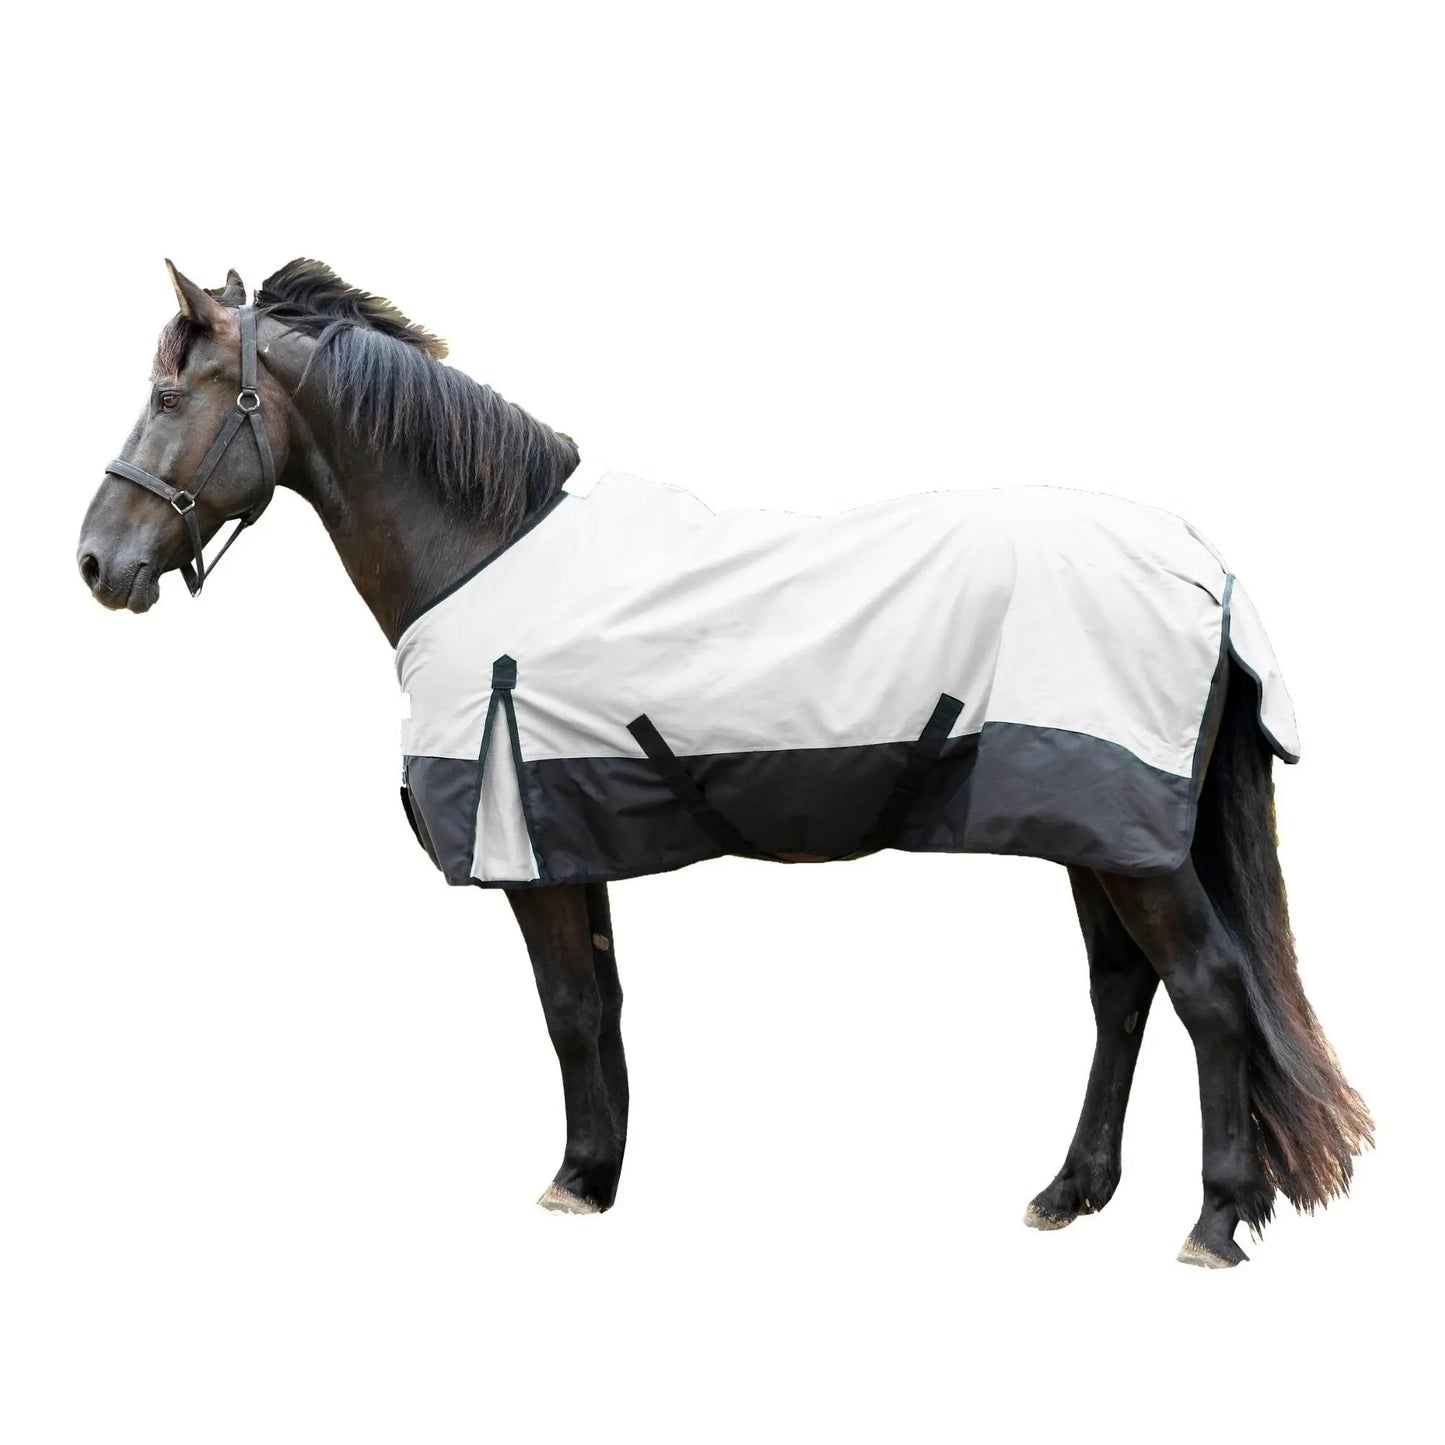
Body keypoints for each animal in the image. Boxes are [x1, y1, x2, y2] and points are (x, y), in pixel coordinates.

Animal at [77, 259, 1372, 1267]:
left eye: (165, 394)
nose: (95, 561)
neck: (484, 551)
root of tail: (1201, 562)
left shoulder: (529, 844)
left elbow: (566, 1008)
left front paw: (572, 1180)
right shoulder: (568, 837)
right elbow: (598, 1005)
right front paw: (597, 1172)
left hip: (1130, 843)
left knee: (1207, 991)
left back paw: (1211, 1220)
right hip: (1092, 833)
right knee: (1121, 993)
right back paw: (1069, 1192)